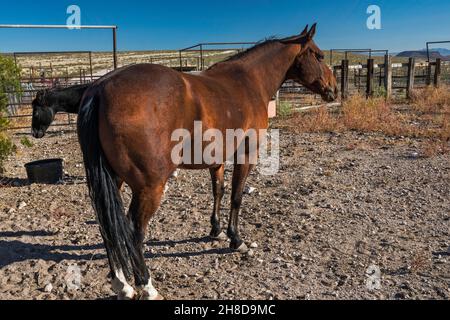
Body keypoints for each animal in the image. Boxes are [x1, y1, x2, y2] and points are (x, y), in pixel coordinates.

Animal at [78, 23, 338, 300]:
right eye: (320, 56)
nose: (333, 89)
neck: (249, 81)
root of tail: (100, 89)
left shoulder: (218, 159)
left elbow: (218, 191)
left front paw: (216, 230)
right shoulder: (246, 154)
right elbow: (236, 196)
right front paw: (236, 239)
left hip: (113, 181)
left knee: (109, 227)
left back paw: (122, 283)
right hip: (150, 187)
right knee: (133, 231)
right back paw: (146, 285)